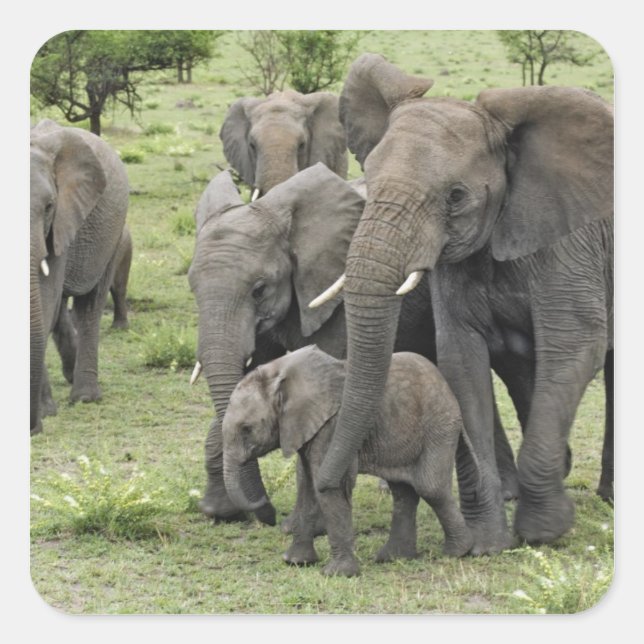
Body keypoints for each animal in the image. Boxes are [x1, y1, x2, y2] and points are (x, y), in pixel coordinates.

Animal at [30, 119, 129, 435]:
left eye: (49, 206)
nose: (33, 429)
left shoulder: (60, 221)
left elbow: (45, 299)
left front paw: (44, 413)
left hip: (112, 233)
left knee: (89, 306)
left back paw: (85, 396)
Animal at [188, 163, 437, 526]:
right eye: (192, 288)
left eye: (259, 290)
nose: (267, 512)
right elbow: (245, 381)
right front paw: (219, 512)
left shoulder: (335, 297)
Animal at [222, 346, 475, 577]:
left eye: (247, 429)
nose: (264, 503)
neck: (280, 370)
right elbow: (306, 485)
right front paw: (295, 562)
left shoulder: (332, 427)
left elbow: (329, 488)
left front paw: (336, 573)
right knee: (403, 491)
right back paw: (393, 557)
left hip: (439, 425)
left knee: (430, 487)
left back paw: (457, 552)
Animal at [312, 54, 613, 552]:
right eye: (367, 180)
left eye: (455, 197)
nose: (328, 483)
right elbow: (461, 360)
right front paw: (487, 544)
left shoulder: (570, 244)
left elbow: (574, 345)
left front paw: (543, 533)